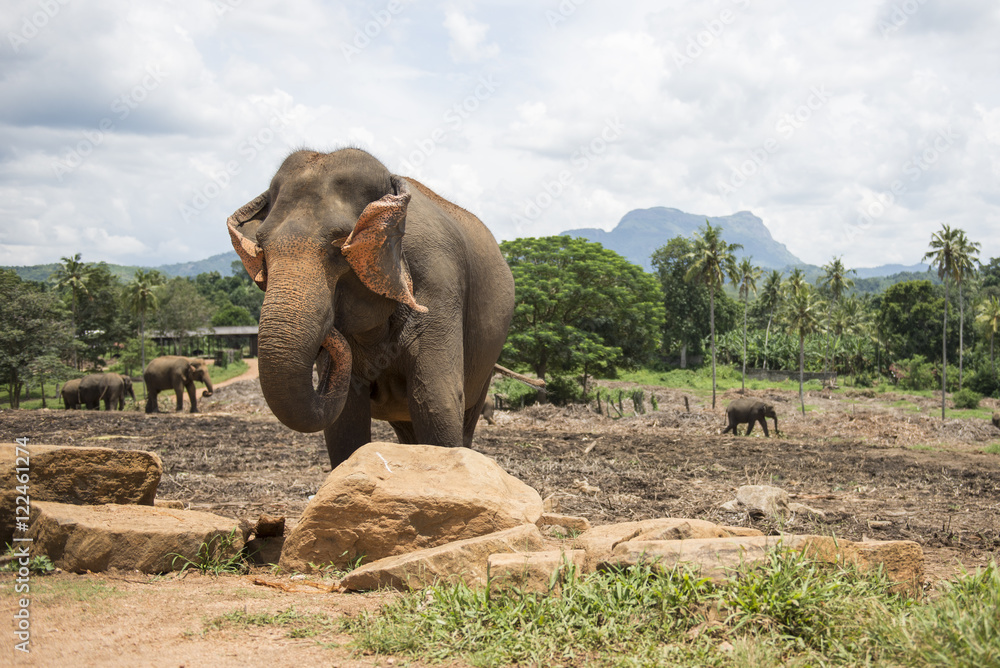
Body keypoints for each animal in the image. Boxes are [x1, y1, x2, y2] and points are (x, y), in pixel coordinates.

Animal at [226, 148, 515, 468]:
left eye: (341, 244)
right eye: (261, 246)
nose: (330, 328)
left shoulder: (439, 282)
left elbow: (436, 402)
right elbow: (345, 419)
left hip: (487, 358)